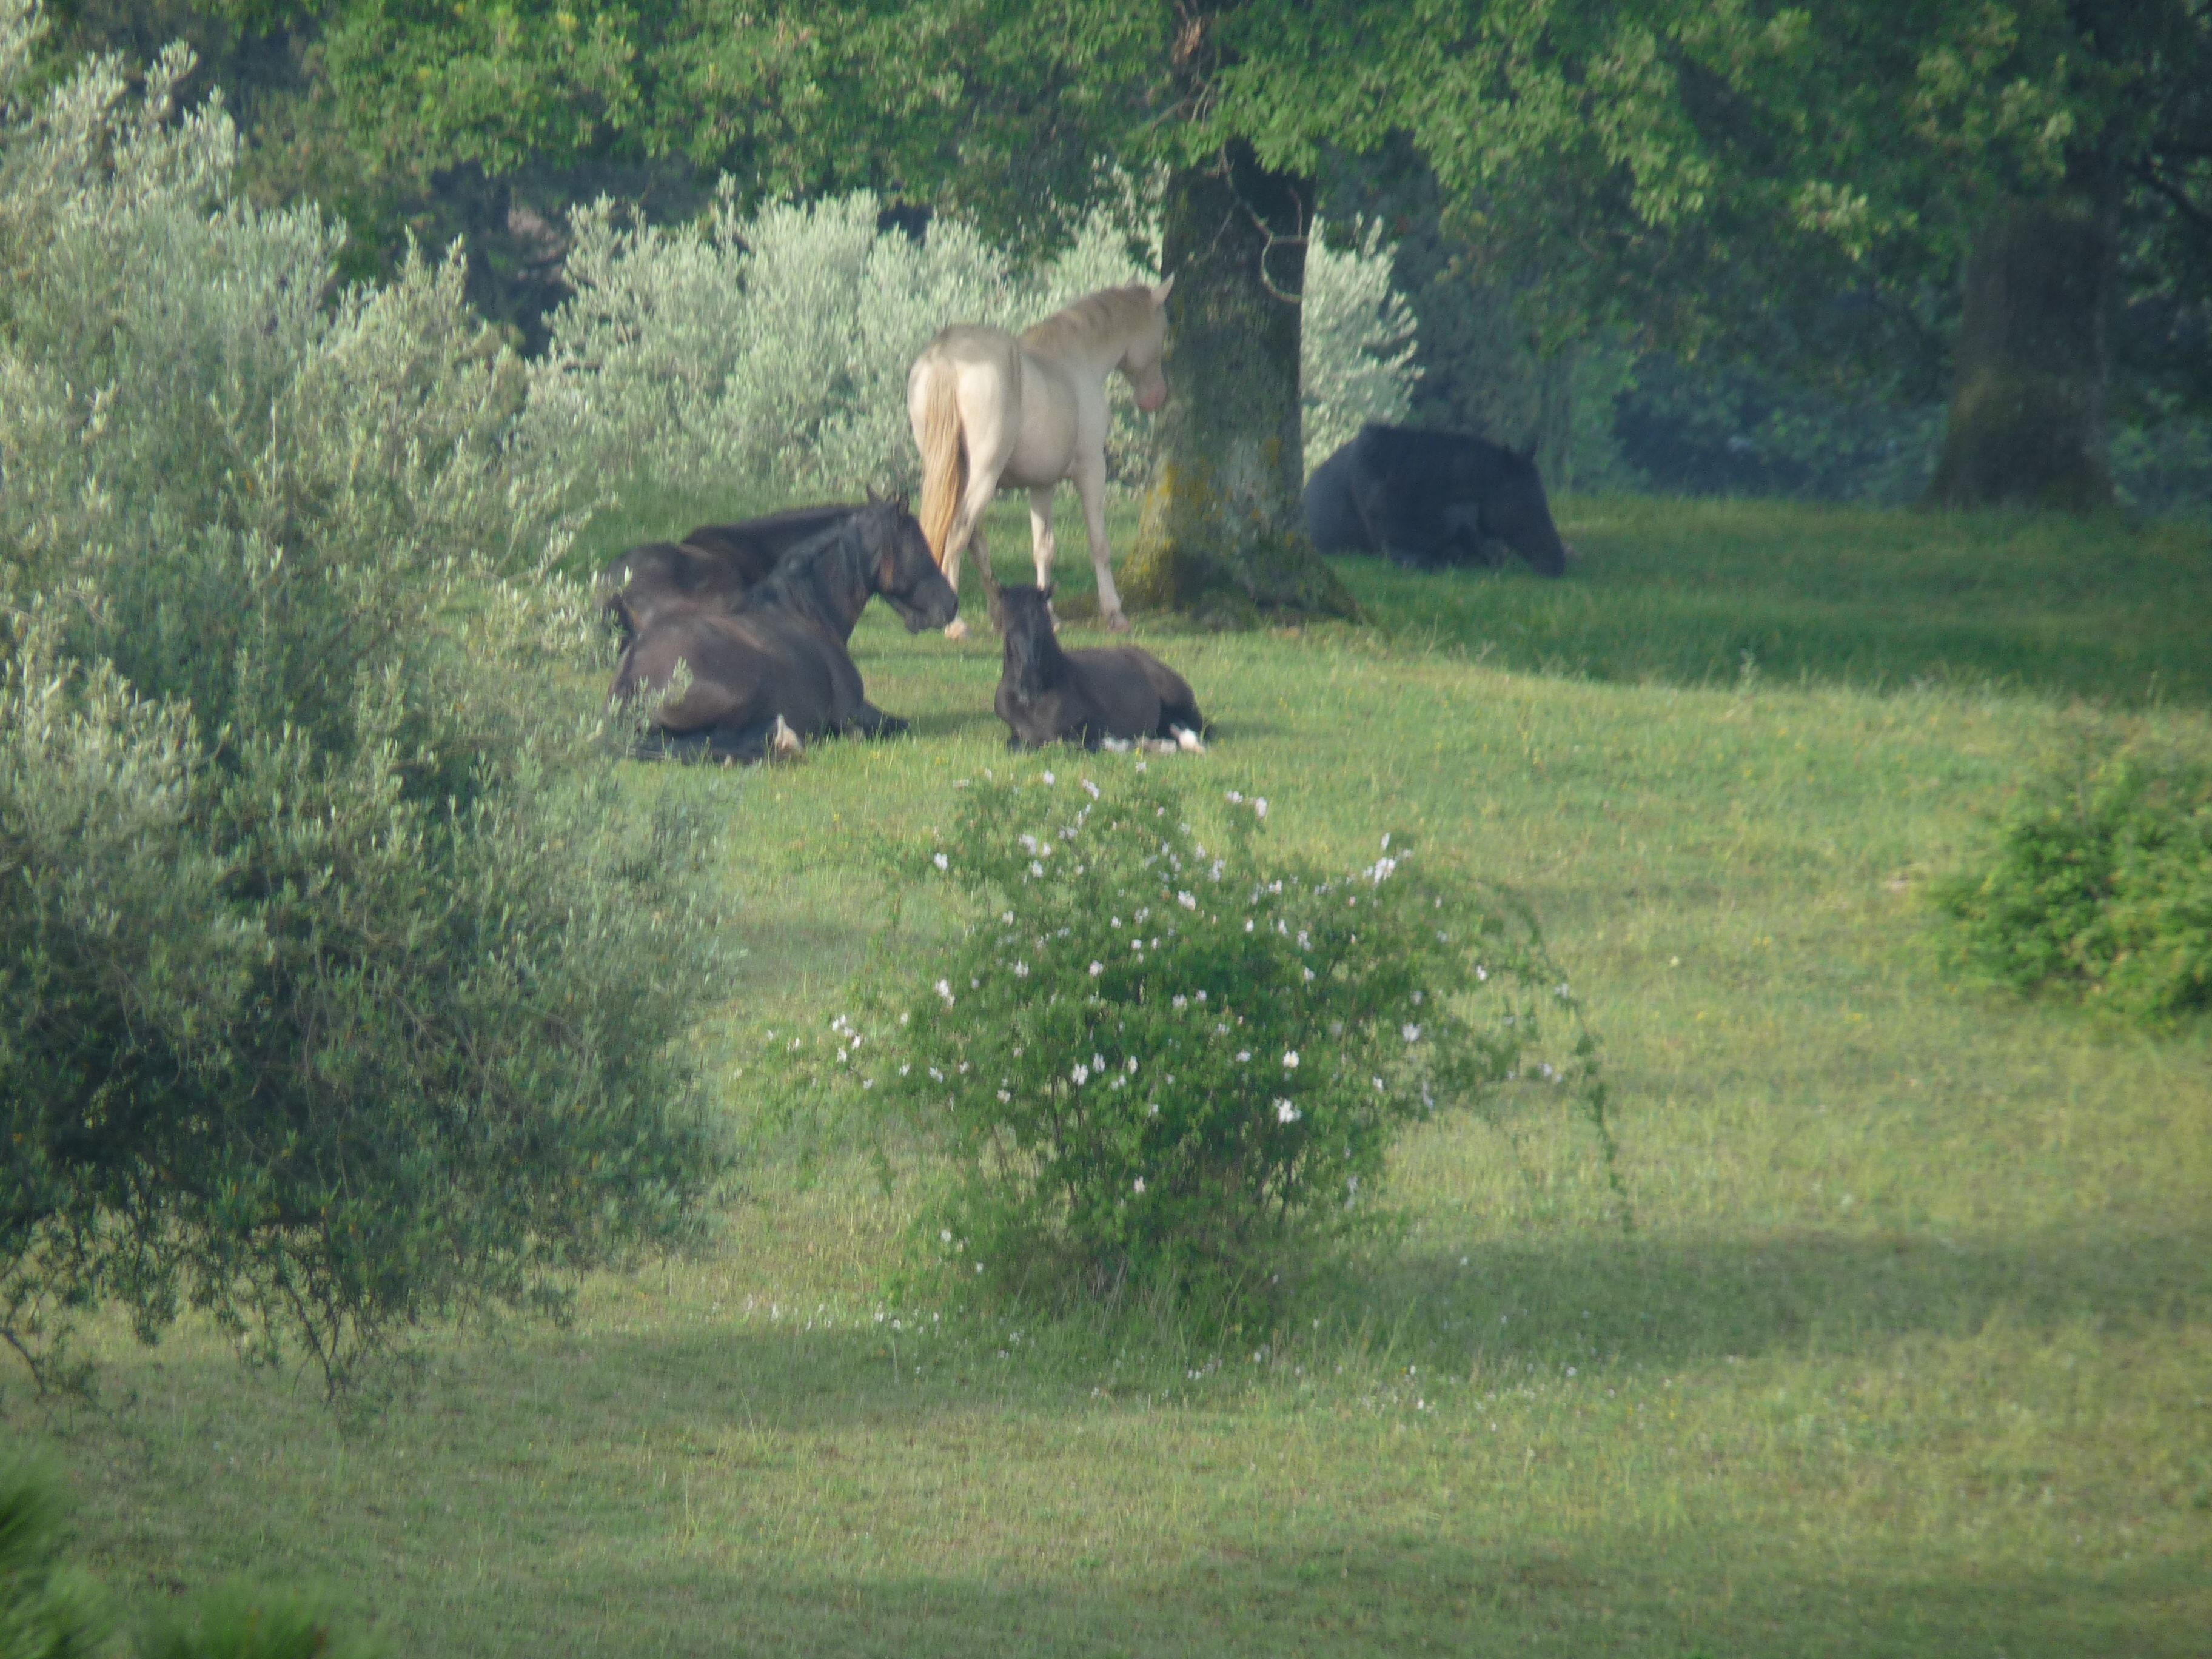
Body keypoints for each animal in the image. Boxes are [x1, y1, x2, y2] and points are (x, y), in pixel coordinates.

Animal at [908, 278, 1174, 639]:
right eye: (1162, 333)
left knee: (976, 540)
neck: (1077, 359)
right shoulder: (1092, 469)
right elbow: (1099, 543)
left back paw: (993, 612)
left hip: (955, 473)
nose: (1156, 397)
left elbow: (1044, 549)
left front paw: (1050, 615)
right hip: (984, 475)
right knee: (959, 534)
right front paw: (1114, 613)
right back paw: (956, 623)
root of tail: (946, 356)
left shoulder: (1042, 486)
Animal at [992, 584, 1206, 753]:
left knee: (1197, 726)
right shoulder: (1018, 733)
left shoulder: (1092, 726)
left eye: (1044, 623)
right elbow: (1016, 745)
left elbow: (1075, 744)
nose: (1029, 685)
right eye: (1008, 627)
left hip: (1178, 698)